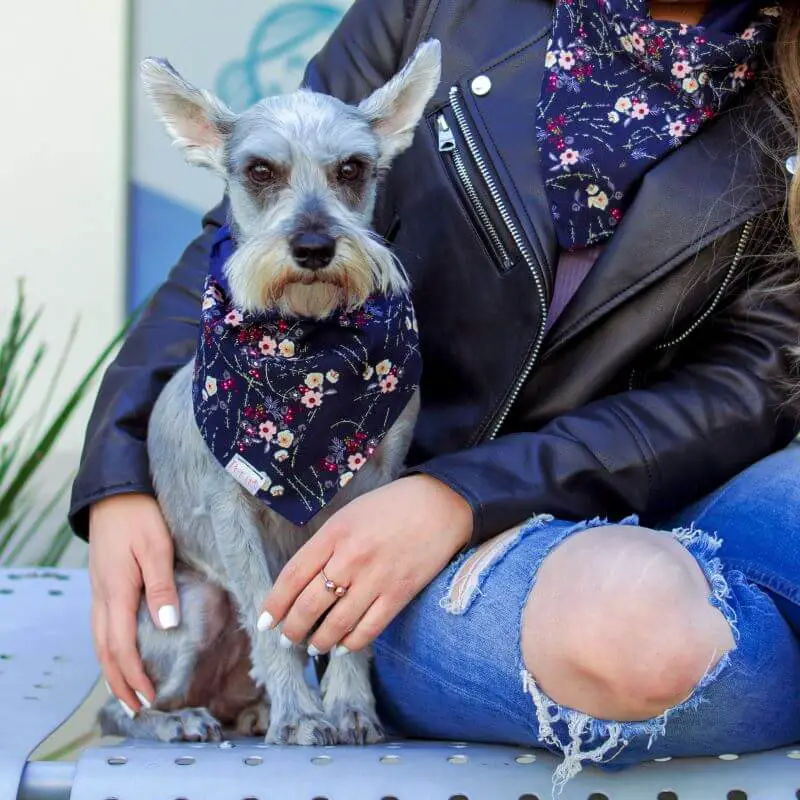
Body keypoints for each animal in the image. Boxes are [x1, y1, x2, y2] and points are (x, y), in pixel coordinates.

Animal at [98, 42, 444, 744]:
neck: (305, 356)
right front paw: (302, 714)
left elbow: (347, 623)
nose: (313, 245)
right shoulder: (231, 509)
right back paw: (180, 721)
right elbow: (269, 622)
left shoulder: (369, 496)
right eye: (260, 171)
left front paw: (350, 707)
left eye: (352, 168)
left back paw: (252, 710)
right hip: (191, 608)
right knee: (125, 706)